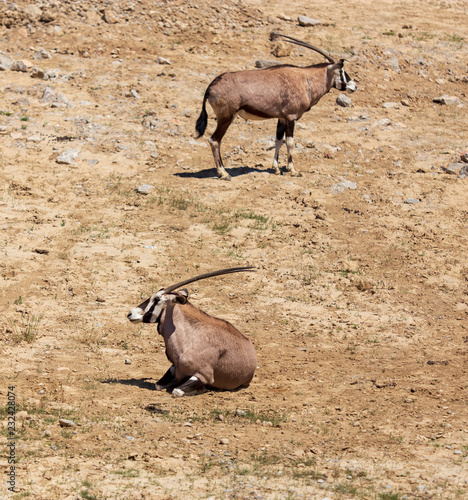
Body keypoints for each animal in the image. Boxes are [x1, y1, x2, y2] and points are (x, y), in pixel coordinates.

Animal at [128, 268, 258, 396]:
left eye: (157, 299)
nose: (130, 313)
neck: (189, 339)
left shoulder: (203, 375)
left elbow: (177, 391)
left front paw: (202, 389)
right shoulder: (175, 368)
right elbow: (158, 385)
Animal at [196, 31, 356, 180]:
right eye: (341, 71)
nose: (353, 86)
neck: (306, 80)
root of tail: (211, 86)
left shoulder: (282, 118)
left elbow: (279, 141)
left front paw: (277, 168)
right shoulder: (291, 117)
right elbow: (290, 142)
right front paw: (293, 170)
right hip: (226, 117)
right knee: (214, 140)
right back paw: (223, 173)